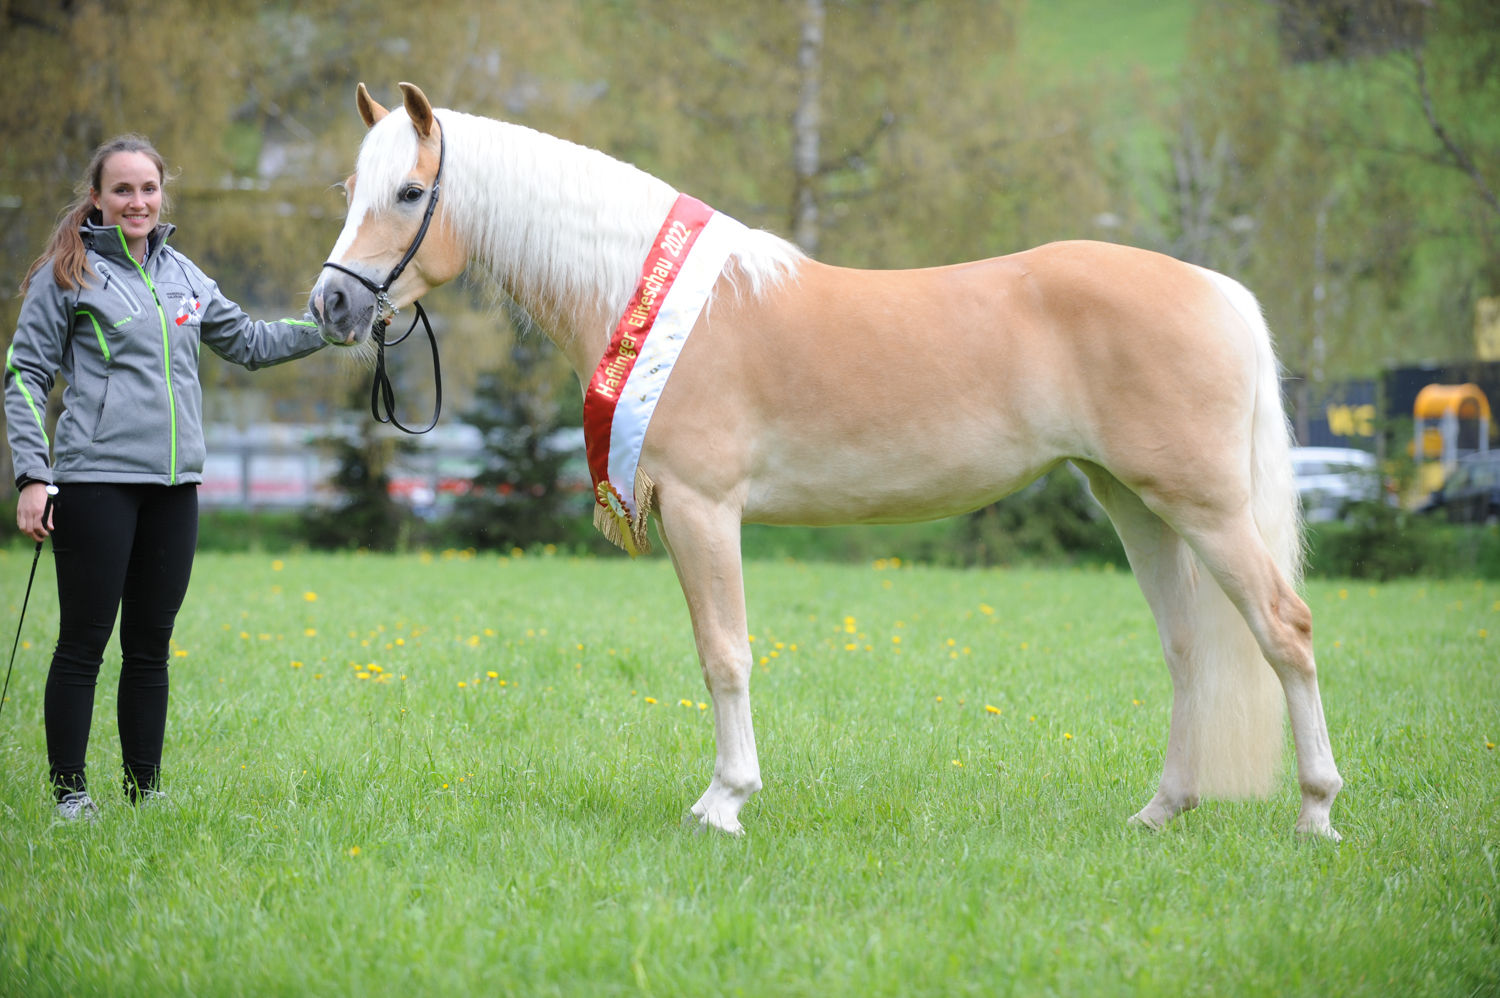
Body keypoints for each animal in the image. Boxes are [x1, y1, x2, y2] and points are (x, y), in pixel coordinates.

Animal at [307, 81, 1350, 834]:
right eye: (350, 193)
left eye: (410, 192)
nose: (333, 306)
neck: (658, 307)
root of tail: (1217, 289)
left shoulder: (703, 509)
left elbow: (724, 654)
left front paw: (725, 802)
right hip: (1135, 505)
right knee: (1189, 651)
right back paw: (1163, 810)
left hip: (1205, 508)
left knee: (1284, 629)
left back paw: (1315, 812)